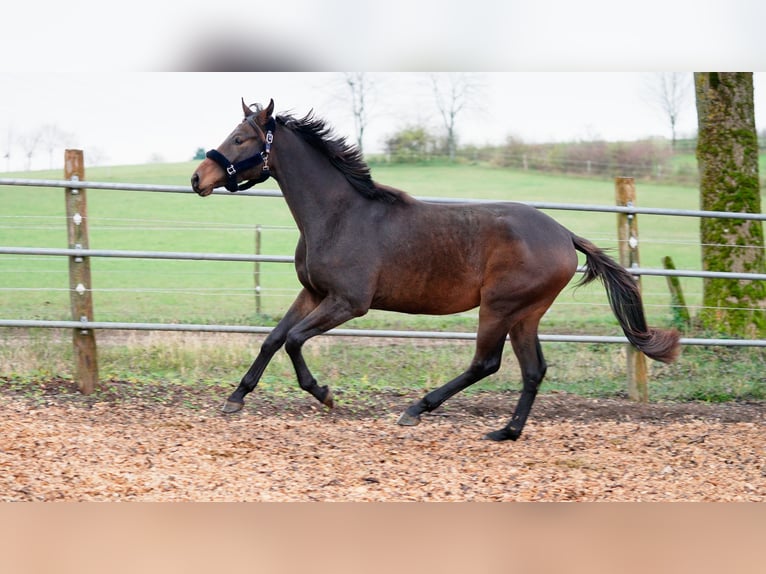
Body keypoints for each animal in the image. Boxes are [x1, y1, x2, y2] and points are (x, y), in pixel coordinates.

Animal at [192, 99, 684, 444]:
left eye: (241, 138)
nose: (198, 178)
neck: (338, 215)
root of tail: (564, 234)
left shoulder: (348, 303)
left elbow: (294, 340)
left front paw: (325, 394)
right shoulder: (312, 294)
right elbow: (273, 338)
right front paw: (235, 399)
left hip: (500, 307)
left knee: (486, 363)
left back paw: (417, 409)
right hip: (525, 314)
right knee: (533, 370)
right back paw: (506, 432)